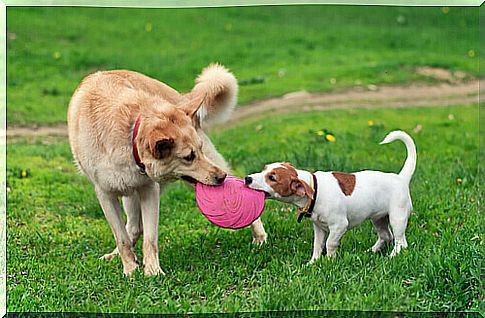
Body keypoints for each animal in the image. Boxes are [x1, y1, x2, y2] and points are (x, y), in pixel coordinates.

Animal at [67, 65, 264, 276]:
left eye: (199, 149)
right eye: (189, 157)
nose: (222, 177)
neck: (129, 136)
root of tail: (179, 97)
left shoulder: (149, 190)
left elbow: (150, 239)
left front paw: (152, 272)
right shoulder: (105, 194)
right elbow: (122, 239)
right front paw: (130, 269)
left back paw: (259, 237)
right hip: (129, 193)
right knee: (133, 228)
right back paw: (116, 256)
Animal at [246, 130, 416, 262]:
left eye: (272, 178)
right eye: (264, 168)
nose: (247, 178)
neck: (315, 189)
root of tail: (401, 178)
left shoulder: (339, 225)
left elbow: (329, 244)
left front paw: (329, 261)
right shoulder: (319, 227)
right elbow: (317, 245)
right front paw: (313, 263)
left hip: (397, 217)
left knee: (401, 241)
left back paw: (393, 256)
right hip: (379, 218)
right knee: (386, 236)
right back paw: (371, 251)